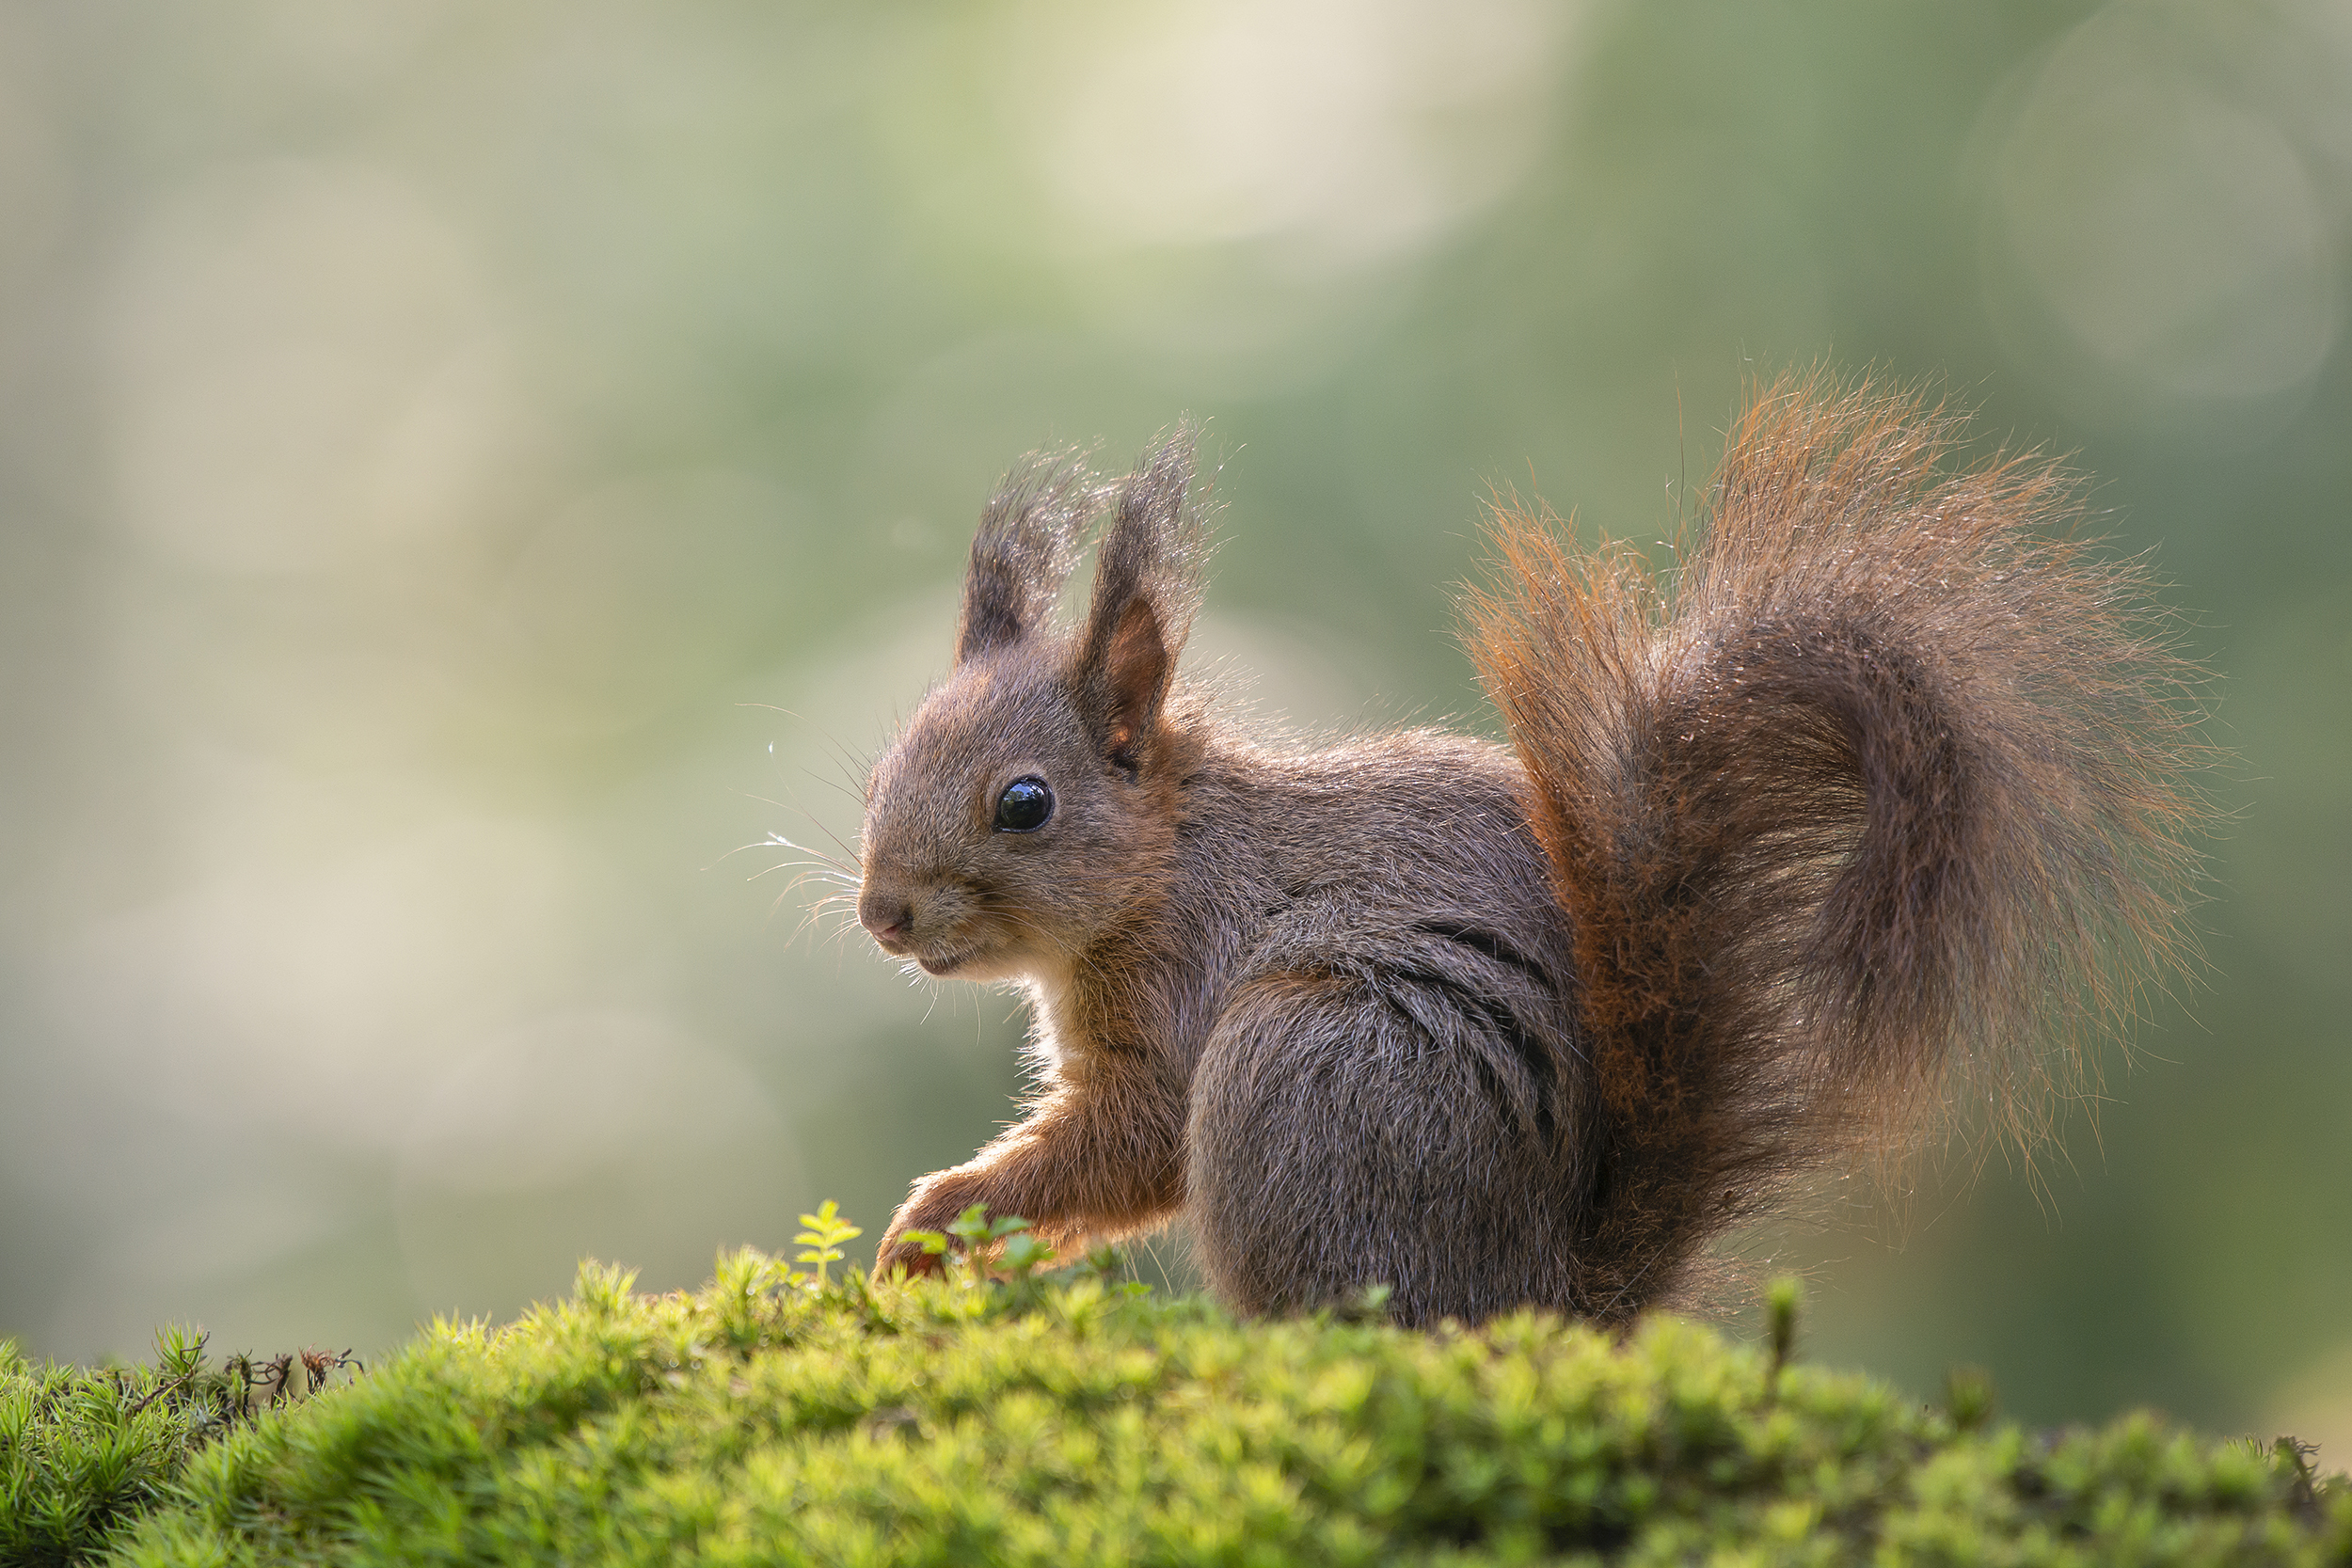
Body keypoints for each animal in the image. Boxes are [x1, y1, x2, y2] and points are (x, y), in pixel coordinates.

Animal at [847, 380, 2201, 1325]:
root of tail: (1545, 1293)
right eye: (880, 765)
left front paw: (934, 1218)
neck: (1164, 862)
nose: (881, 915)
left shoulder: (1181, 996)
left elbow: (1127, 1141)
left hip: (1308, 1068)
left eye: (1025, 802)